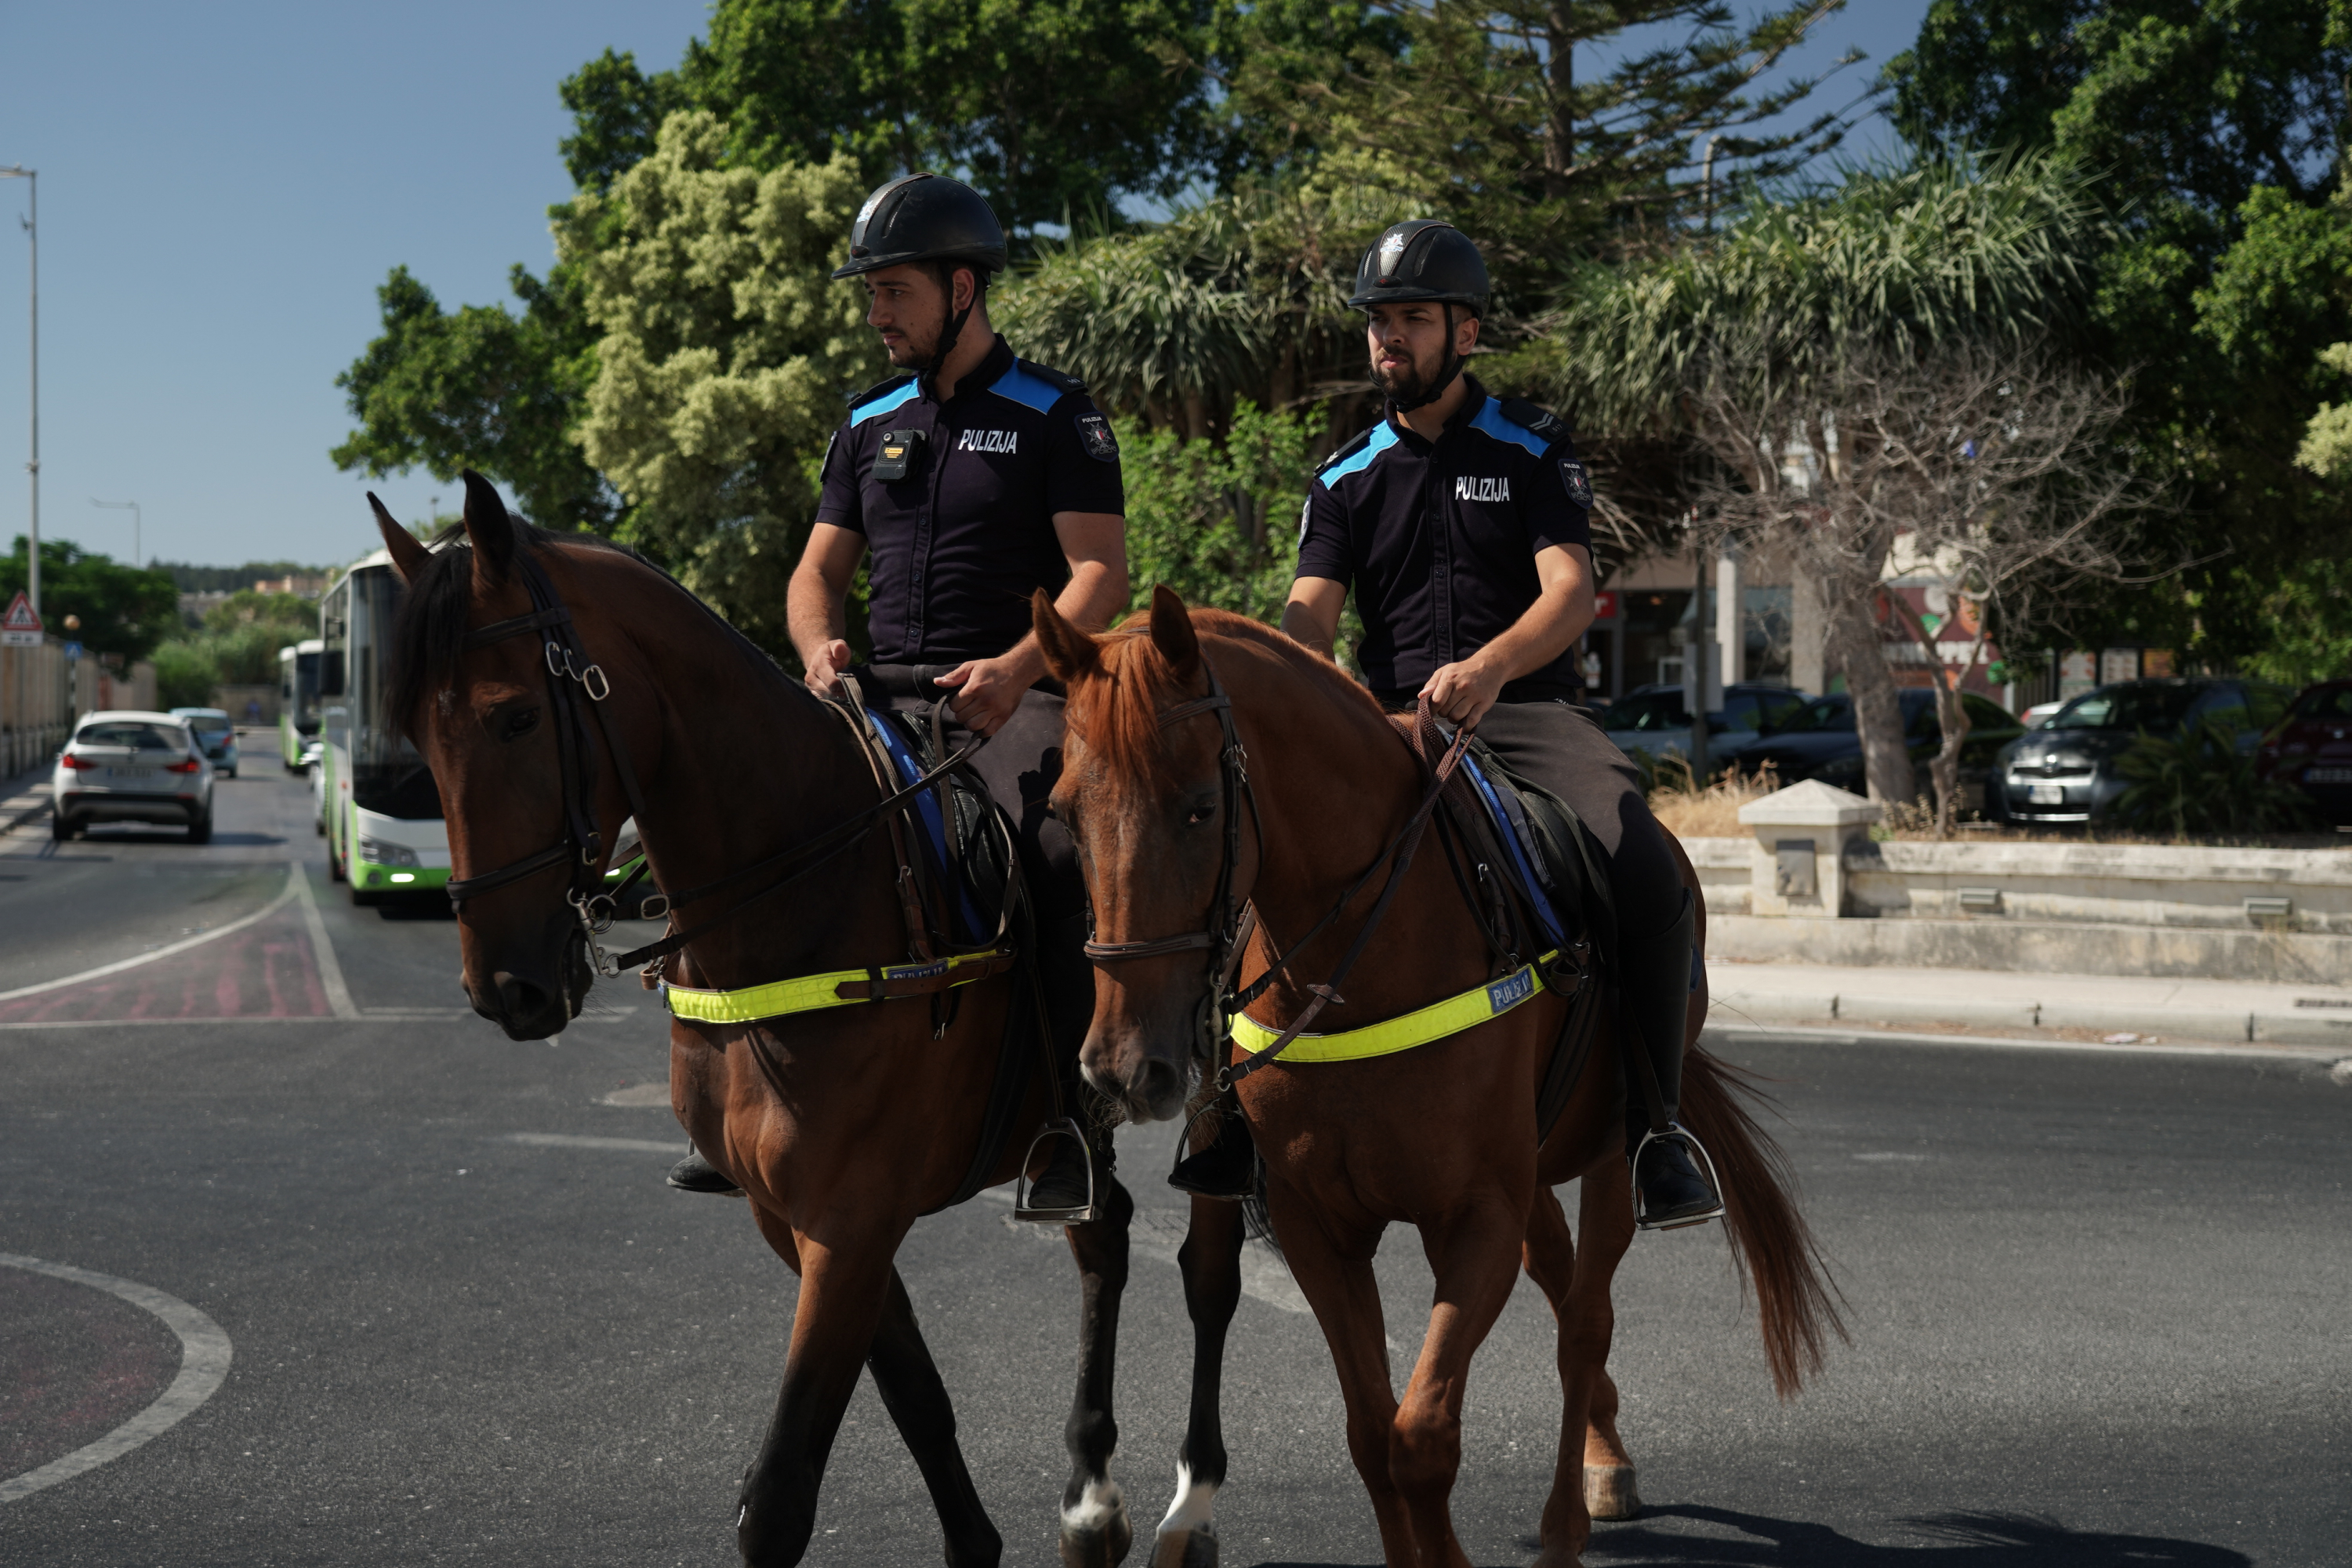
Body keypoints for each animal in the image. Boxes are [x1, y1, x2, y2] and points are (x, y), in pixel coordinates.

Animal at [366, 475, 1149, 1568]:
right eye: (414, 731)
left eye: (515, 717)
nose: (504, 985)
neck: (803, 890)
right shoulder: (801, 1220)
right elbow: (917, 1397)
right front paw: (974, 1539)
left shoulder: (850, 1222)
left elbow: (778, 1495)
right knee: (1106, 1230)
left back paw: (1111, 1500)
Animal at [1034, 586, 1843, 1568]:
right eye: (1065, 812)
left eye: (1197, 808)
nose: (1122, 1066)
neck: (1364, 955)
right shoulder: (1320, 1226)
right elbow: (1371, 1433)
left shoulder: (1476, 1213)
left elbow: (1421, 1437)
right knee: (1560, 1281)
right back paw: (1604, 1455)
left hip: (1609, 1152)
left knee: (1585, 1321)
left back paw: (1568, 1517)